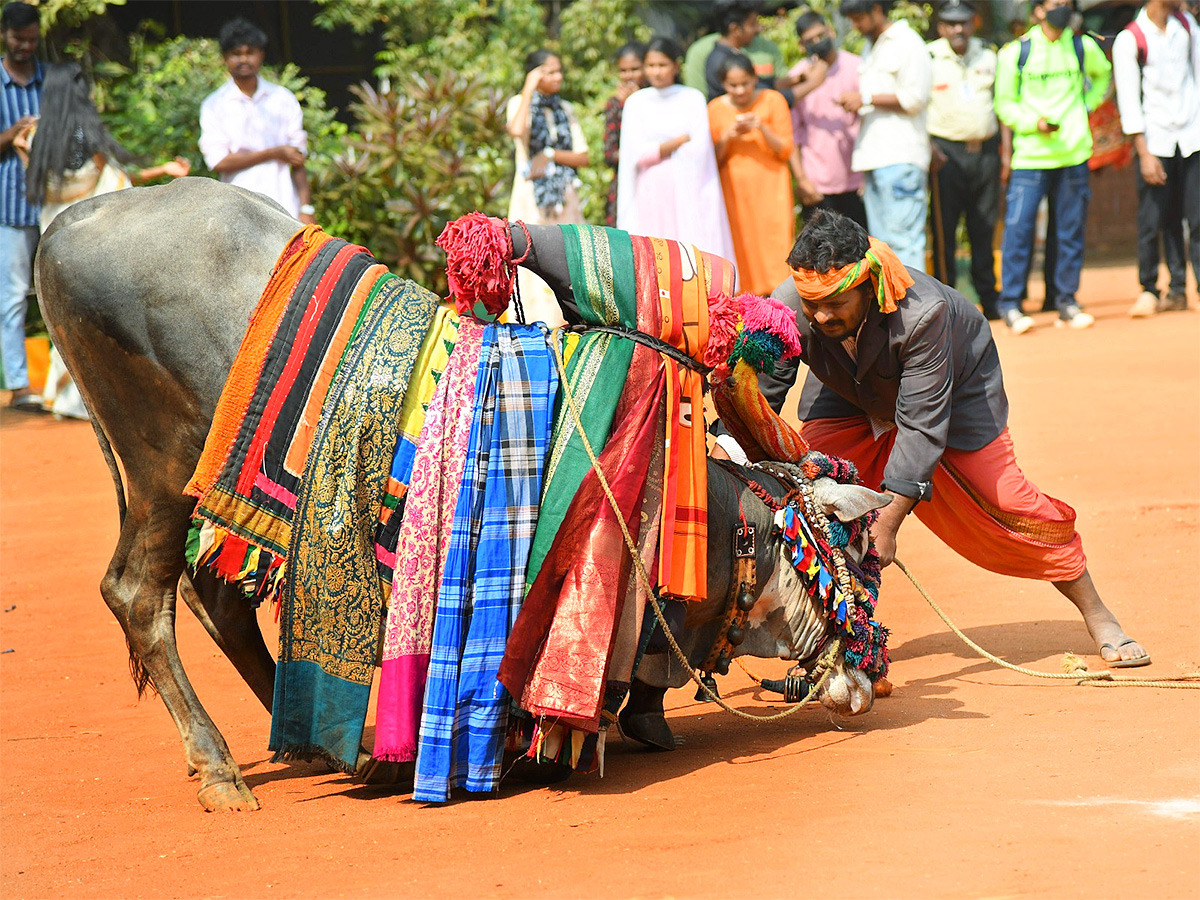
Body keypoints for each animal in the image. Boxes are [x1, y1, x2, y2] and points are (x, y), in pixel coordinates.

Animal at [35, 180, 892, 816]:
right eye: (853, 558)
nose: (869, 678)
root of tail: (66, 222)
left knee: (215, 601)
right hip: (158, 466)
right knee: (139, 595)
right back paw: (225, 770)